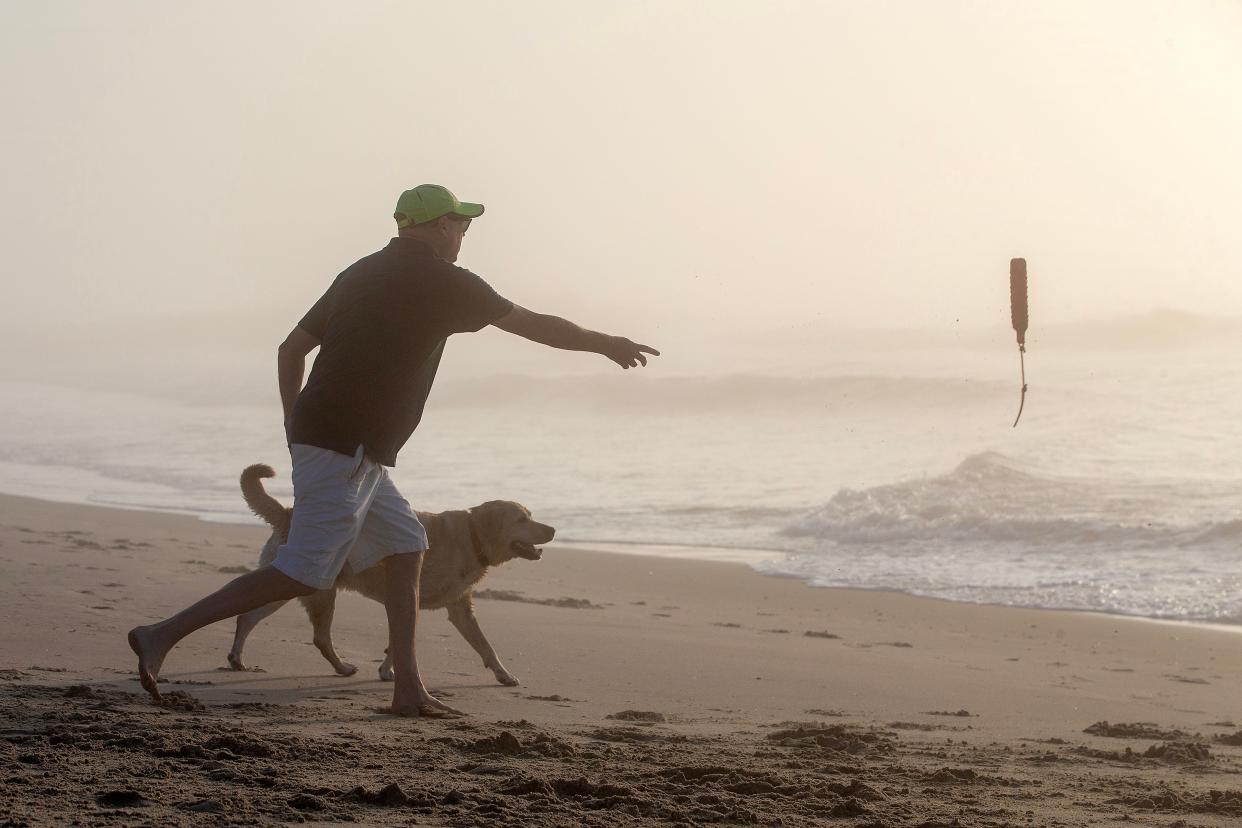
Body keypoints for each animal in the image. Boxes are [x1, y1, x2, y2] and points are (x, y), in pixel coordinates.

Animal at [226, 466, 556, 685]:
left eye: (530, 515)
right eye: (522, 519)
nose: (553, 529)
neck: (473, 536)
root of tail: (286, 513)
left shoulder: (459, 607)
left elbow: (485, 645)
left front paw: (503, 673)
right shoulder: (411, 595)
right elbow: (400, 642)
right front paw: (390, 670)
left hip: (288, 585)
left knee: (247, 617)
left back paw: (236, 658)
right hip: (316, 589)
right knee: (319, 638)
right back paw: (342, 667)